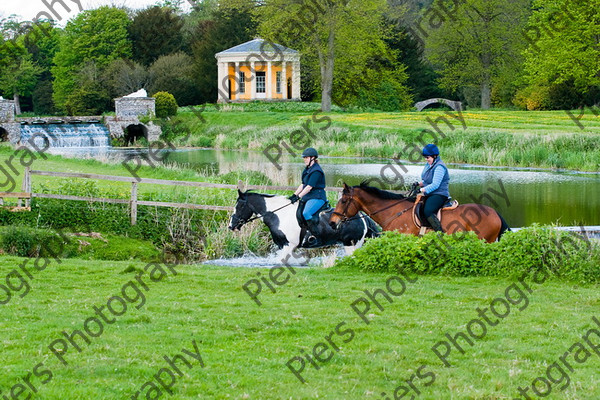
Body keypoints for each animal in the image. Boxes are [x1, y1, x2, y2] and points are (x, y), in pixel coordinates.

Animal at [227, 191, 378, 260]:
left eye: (240, 206)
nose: (231, 226)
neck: (279, 215)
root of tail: (363, 217)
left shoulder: (289, 245)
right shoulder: (282, 245)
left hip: (351, 244)